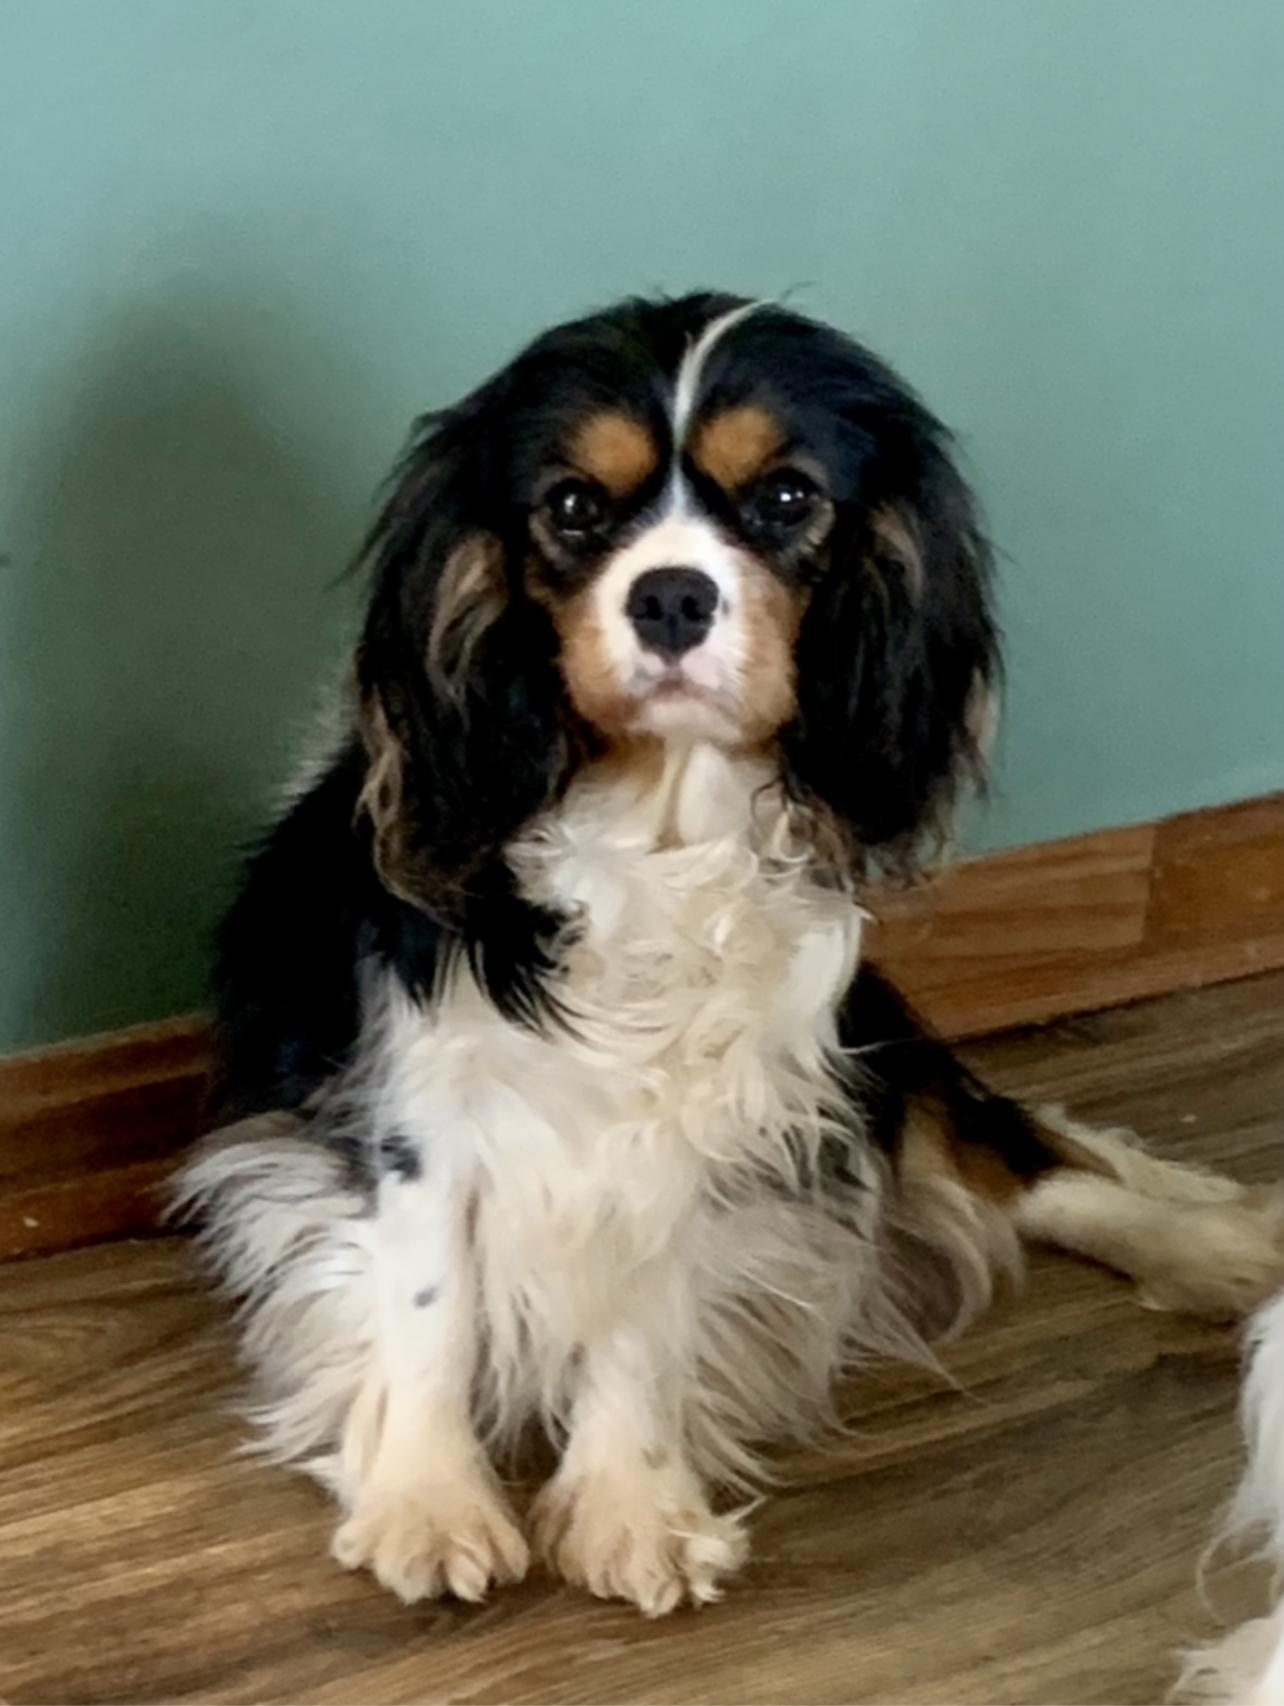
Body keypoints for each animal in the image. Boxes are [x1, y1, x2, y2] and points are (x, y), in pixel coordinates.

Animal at [176, 292, 1284, 1616]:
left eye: (789, 498)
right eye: (572, 507)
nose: (670, 596)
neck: (657, 827)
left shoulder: (722, 1101)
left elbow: (649, 1304)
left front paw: (632, 1509)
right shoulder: (411, 1093)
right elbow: (428, 1294)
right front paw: (429, 1505)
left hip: (864, 1037)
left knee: (1006, 1152)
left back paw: (1218, 1247)